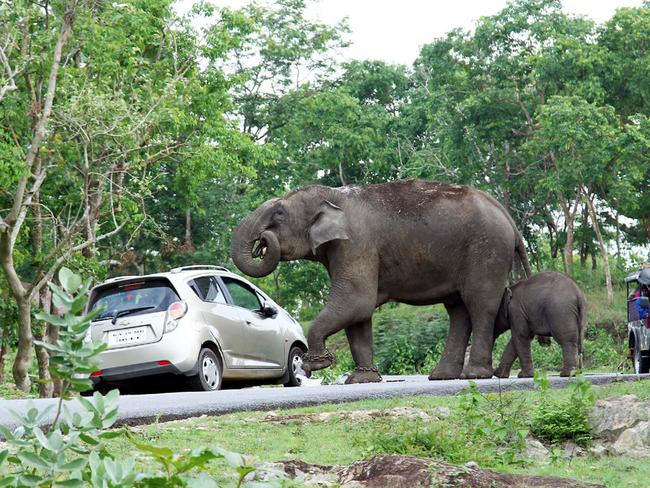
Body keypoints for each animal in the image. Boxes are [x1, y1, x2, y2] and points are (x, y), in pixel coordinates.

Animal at [230, 178, 528, 382]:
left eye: (279, 214)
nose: (263, 240)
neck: (333, 195)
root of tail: (509, 219)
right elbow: (358, 314)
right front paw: (362, 379)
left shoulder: (356, 244)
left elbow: (356, 301)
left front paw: (316, 364)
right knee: (458, 310)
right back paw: (442, 375)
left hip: (487, 251)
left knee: (480, 305)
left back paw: (474, 374)